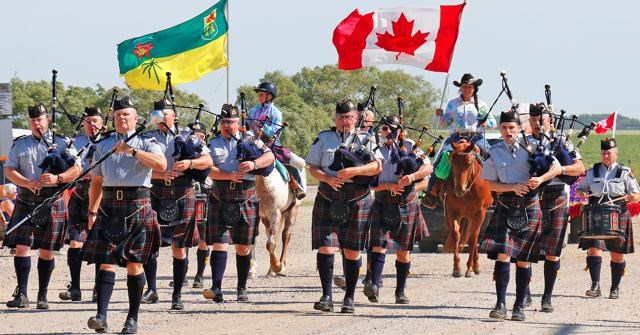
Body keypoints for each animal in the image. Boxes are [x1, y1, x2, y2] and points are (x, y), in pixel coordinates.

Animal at [442, 139, 492, 278]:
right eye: (452, 161)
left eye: (469, 163)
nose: (459, 189)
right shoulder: (452, 212)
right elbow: (456, 235)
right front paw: (457, 268)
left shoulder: (480, 213)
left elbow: (473, 238)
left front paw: (469, 269)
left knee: (473, 237)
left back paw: (475, 267)